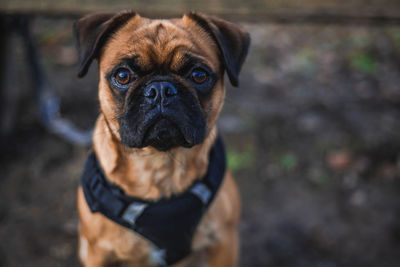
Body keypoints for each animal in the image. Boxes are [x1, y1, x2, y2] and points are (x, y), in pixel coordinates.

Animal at [74, 9, 248, 266]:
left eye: (199, 75)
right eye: (123, 76)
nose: (161, 89)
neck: (158, 164)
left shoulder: (224, 243)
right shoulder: (99, 254)